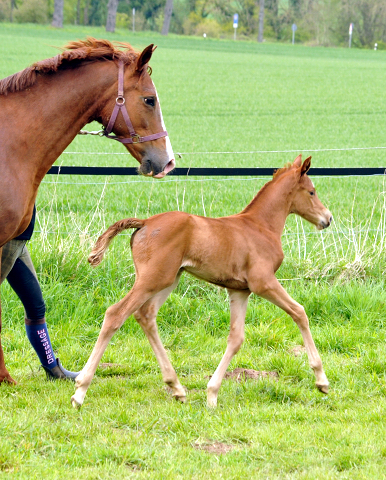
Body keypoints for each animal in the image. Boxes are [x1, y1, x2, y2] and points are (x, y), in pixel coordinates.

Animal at [71, 155, 332, 408]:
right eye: (311, 191)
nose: (327, 218)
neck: (260, 227)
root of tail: (145, 222)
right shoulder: (263, 283)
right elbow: (299, 312)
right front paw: (321, 381)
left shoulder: (240, 291)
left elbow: (236, 339)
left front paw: (212, 394)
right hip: (152, 279)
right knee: (116, 314)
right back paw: (81, 390)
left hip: (168, 280)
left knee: (145, 315)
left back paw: (176, 387)